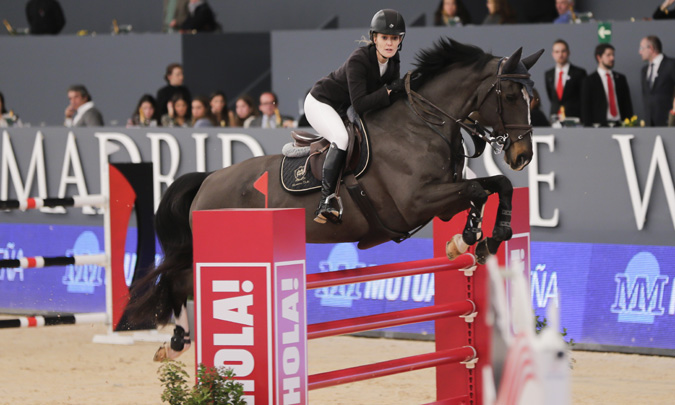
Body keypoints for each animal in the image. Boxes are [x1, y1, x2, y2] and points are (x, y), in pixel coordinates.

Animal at [127, 39, 548, 358]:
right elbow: (478, 189)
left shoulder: (442, 199)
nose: (522, 156)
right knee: (179, 279)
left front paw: (486, 236)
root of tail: (208, 180)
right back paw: (176, 343)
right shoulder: (416, 202)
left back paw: (178, 342)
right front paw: (473, 236)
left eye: (534, 98)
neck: (422, 124)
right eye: (511, 94)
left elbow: (496, 186)